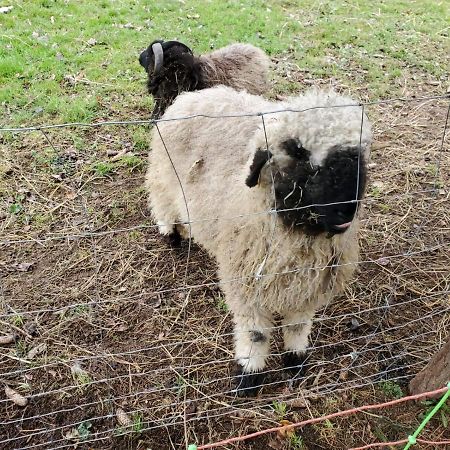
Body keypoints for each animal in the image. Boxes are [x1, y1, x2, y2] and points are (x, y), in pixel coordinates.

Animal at [145, 84, 372, 394]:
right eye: (298, 151)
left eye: (359, 153)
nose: (347, 209)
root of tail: (197, 94)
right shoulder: (247, 285)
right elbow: (255, 333)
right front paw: (249, 373)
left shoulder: (308, 287)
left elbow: (297, 326)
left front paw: (295, 360)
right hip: (163, 175)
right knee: (162, 201)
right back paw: (171, 234)